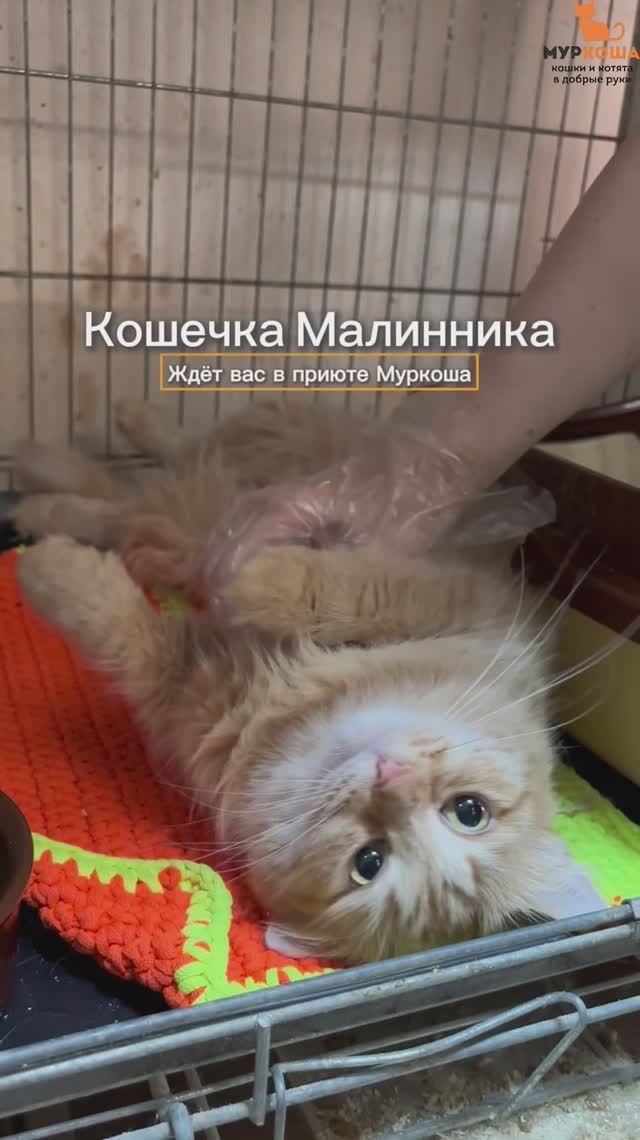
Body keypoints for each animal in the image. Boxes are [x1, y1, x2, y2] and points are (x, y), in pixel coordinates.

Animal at [11, 400, 604, 964]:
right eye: (470, 811)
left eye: (369, 862)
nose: (391, 777)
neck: (308, 702)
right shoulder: (450, 598)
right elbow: (336, 588)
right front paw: (252, 576)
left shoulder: (184, 684)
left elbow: (112, 620)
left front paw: (46, 566)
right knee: (171, 461)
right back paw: (101, 437)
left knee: (133, 496)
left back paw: (41, 498)